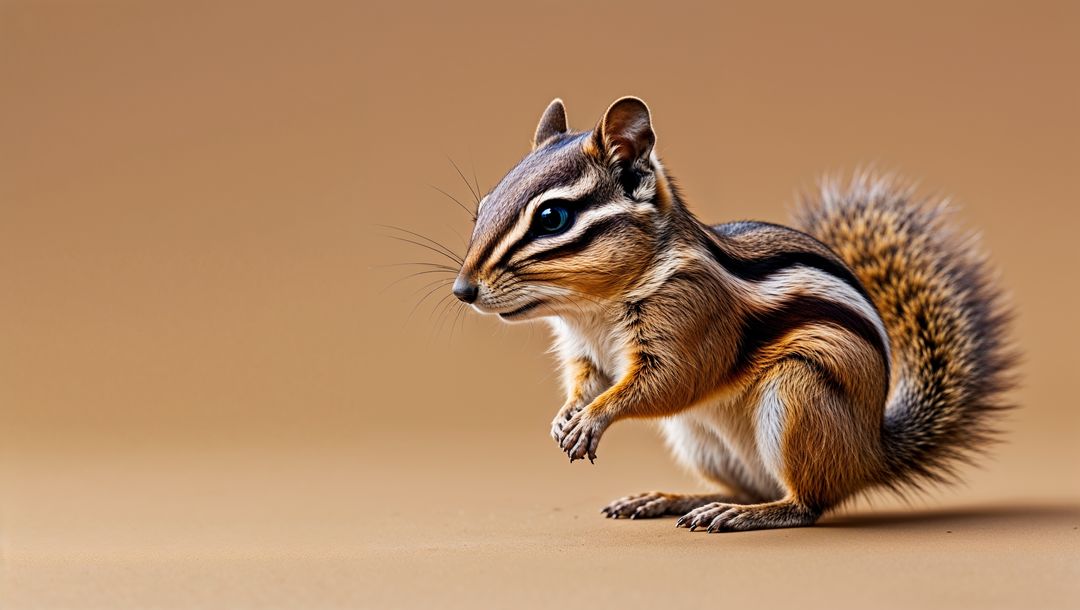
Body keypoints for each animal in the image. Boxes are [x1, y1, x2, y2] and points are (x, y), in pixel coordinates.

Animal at [450, 96, 1015, 532]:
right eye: (484, 205)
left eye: (553, 217)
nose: (463, 289)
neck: (591, 311)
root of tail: (871, 452)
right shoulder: (583, 351)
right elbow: (587, 380)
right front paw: (566, 414)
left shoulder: (693, 320)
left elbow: (669, 382)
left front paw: (592, 418)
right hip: (697, 438)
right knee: (750, 487)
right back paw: (678, 501)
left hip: (799, 395)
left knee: (807, 503)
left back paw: (748, 515)